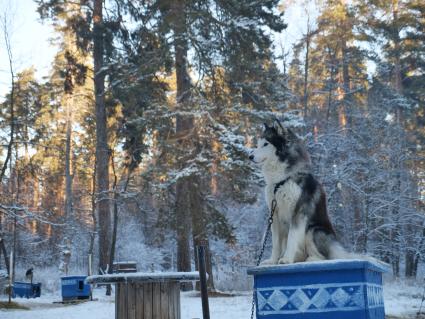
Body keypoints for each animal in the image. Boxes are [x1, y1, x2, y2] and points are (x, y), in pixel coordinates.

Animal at [248, 122, 348, 264]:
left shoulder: (298, 212)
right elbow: (275, 243)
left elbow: (292, 238)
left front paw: (286, 259)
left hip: (313, 230)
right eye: (258, 144)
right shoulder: (274, 213)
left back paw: (310, 259)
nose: (249, 156)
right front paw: (273, 260)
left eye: (266, 144)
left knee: (325, 257)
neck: (281, 181)